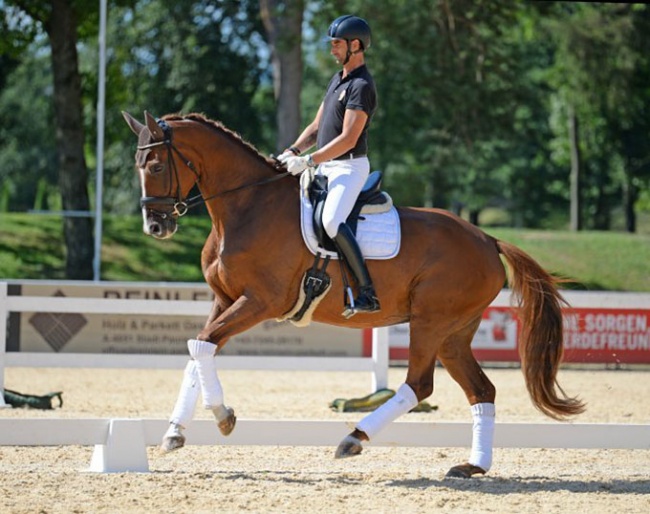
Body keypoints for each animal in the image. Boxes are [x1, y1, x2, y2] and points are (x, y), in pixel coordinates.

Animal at [121, 109, 584, 476]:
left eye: (156, 166)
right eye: (138, 166)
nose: (155, 226)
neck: (246, 206)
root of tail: (487, 239)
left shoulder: (261, 302)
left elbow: (202, 346)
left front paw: (223, 417)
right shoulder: (223, 299)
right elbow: (198, 351)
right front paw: (175, 433)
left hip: (430, 322)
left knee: (419, 385)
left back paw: (354, 439)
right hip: (454, 332)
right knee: (481, 390)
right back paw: (473, 466)